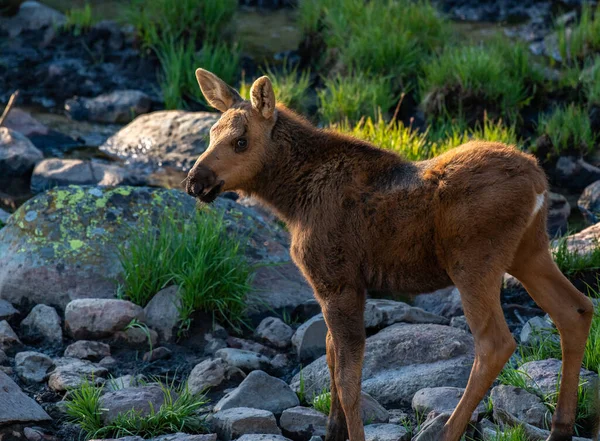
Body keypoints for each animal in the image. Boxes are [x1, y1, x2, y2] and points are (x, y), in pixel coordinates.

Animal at [188, 69, 596, 440]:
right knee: (575, 310)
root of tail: (539, 181)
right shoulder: (336, 287)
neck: (291, 201)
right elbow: (331, 358)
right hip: (530, 251)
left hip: (474, 262)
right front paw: (333, 431)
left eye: (241, 141)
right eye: (210, 134)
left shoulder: (338, 281)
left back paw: (448, 431)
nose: (195, 181)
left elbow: (348, 380)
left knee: (495, 343)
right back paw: (560, 428)